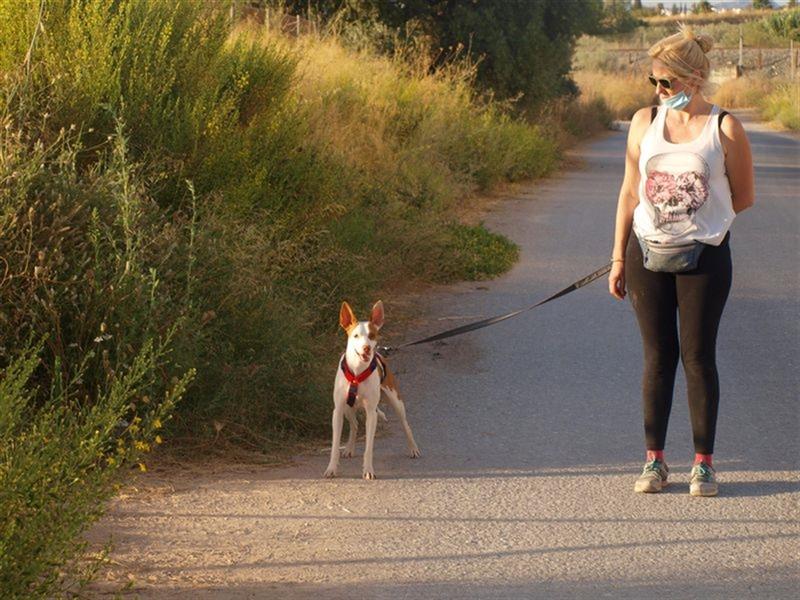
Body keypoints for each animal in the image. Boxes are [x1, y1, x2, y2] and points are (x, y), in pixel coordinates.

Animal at [324, 302, 418, 480]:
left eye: (372, 335)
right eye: (355, 336)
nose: (366, 348)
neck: (357, 371)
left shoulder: (371, 413)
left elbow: (368, 447)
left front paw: (368, 470)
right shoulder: (337, 411)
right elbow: (334, 446)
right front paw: (331, 468)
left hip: (396, 401)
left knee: (406, 425)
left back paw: (413, 448)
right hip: (348, 408)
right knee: (354, 425)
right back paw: (349, 448)